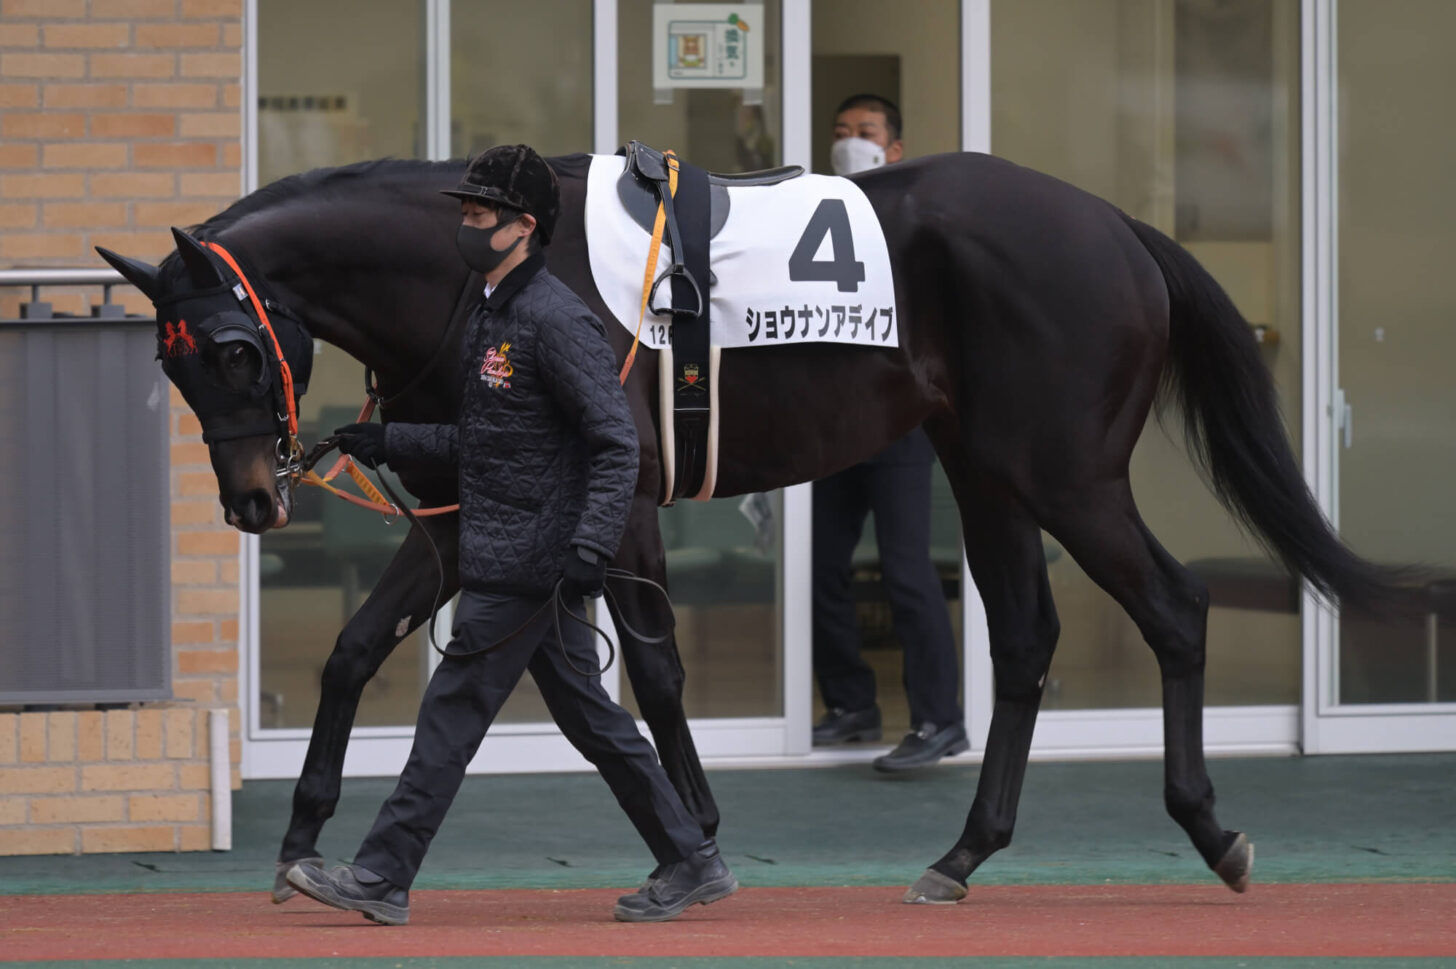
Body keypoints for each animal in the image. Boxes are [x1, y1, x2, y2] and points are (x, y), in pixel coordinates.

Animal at [96, 149, 1391, 896]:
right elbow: (359, 651)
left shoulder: (611, 500)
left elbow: (657, 670)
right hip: (988, 474)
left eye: (230, 347)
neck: (478, 277)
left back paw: (1208, 829)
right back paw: (964, 854)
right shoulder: (471, 521)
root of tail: (1119, 229)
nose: (253, 497)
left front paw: (694, 830)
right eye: (169, 362)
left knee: (1173, 605)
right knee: (1024, 642)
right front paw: (302, 836)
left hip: (1067, 473)